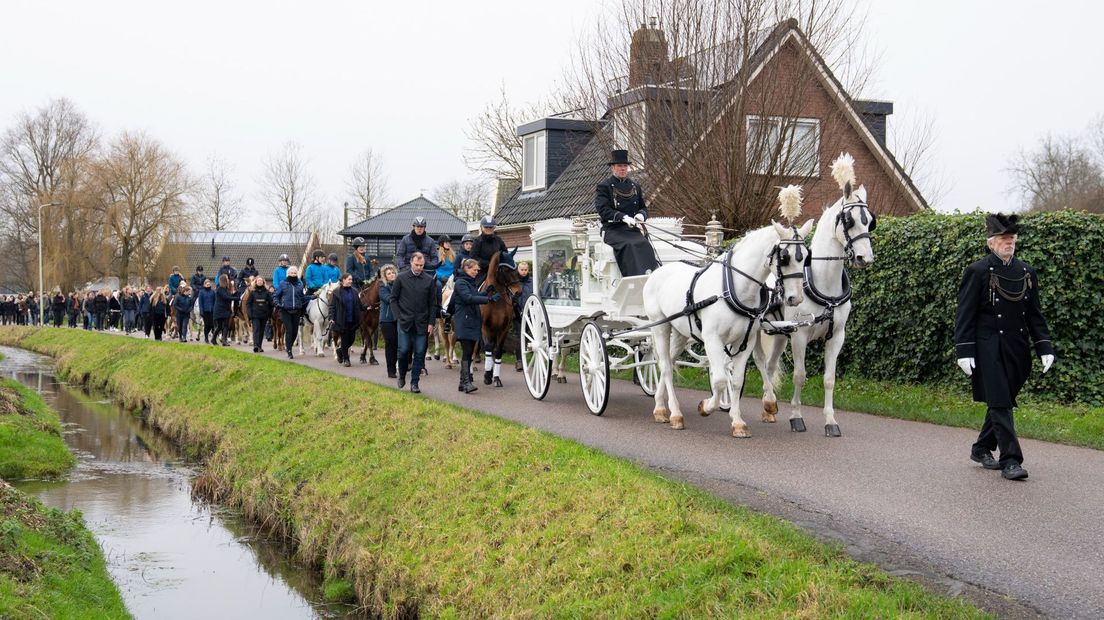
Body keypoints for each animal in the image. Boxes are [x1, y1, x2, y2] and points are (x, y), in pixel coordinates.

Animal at [479, 248, 521, 383]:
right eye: (506, 269)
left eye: (516, 267)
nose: (518, 292)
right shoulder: (485, 327)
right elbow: (488, 348)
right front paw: (487, 376)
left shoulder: (504, 329)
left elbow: (498, 351)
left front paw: (496, 377)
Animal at [644, 219, 812, 436]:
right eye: (785, 257)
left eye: (807, 257)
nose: (795, 298)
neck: (734, 288)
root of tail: (656, 272)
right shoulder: (712, 339)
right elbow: (720, 380)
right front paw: (706, 407)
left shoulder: (745, 341)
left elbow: (737, 381)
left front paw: (738, 422)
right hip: (660, 326)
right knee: (665, 367)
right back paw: (675, 414)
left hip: (681, 333)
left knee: (670, 363)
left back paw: (660, 407)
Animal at [755, 152, 874, 436]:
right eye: (849, 220)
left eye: (870, 220)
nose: (865, 258)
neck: (824, 285)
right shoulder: (800, 335)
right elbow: (800, 375)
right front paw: (796, 417)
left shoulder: (837, 336)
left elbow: (829, 379)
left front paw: (831, 421)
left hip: (779, 335)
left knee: (770, 366)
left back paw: (768, 410)